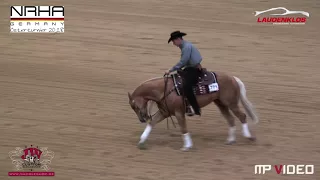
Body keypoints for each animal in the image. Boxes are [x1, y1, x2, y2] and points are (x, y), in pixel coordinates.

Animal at [127, 68, 258, 150]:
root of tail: (233, 78)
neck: (165, 90)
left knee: (242, 116)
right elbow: (152, 122)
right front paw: (142, 141)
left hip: (231, 103)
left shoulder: (179, 112)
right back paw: (230, 140)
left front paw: (187, 146)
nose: (142, 119)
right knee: (230, 119)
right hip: (221, 104)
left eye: (134, 105)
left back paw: (249, 137)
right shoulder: (165, 112)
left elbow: (183, 128)